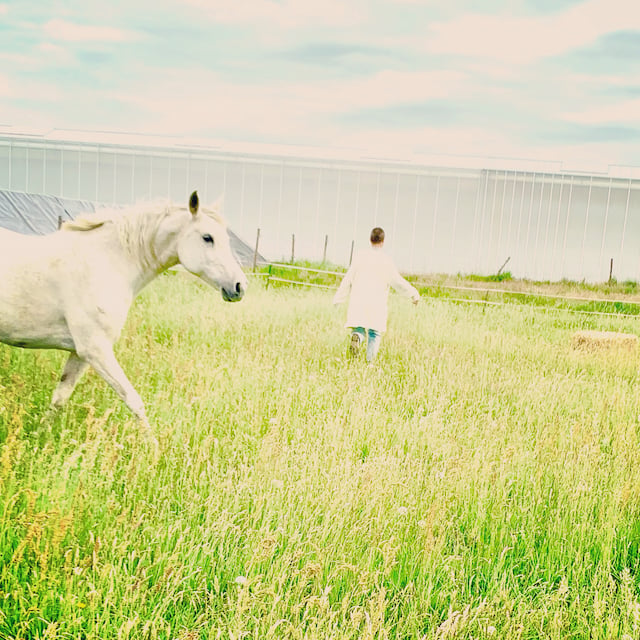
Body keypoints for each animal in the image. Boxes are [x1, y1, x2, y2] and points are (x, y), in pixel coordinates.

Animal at [0, 192, 248, 448]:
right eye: (208, 238)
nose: (239, 286)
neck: (107, 262)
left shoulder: (79, 354)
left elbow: (59, 398)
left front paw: (38, 438)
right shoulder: (96, 350)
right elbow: (133, 399)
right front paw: (153, 449)